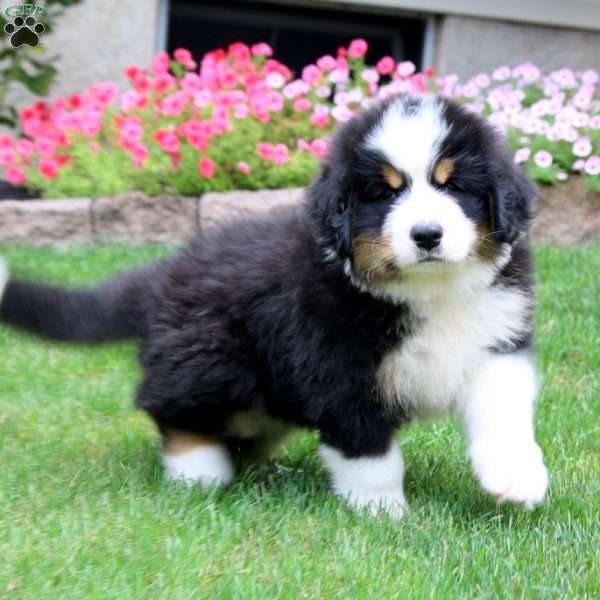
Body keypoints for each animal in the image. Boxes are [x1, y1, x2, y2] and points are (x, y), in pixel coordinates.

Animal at [0, 94, 548, 516]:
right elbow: (371, 454)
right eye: (383, 192)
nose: (428, 235)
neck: (427, 291)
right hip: (209, 360)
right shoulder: (338, 371)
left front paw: (516, 477)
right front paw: (383, 514)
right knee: (171, 408)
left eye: (453, 185)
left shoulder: (495, 343)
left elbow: (504, 412)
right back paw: (199, 471)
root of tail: (164, 273)